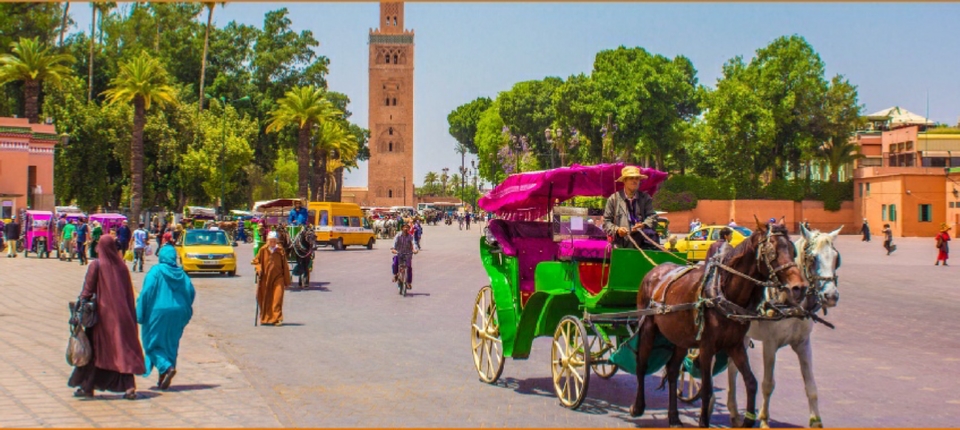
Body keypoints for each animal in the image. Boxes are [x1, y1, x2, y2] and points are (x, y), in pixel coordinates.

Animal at [632, 220, 808, 428]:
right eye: (771, 251)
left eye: (792, 249)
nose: (799, 287)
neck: (725, 292)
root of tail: (654, 270)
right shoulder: (707, 346)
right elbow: (707, 388)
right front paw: (703, 422)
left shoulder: (735, 345)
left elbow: (751, 382)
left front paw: (747, 420)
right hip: (647, 326)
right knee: (642, 364)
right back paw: (638, 406)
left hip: (681, 337)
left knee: (673, 370)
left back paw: (674, 417)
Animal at [728, 227, 840, 428]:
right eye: (813, 258)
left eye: (836, 258)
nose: (831, 296)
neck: (790, 305)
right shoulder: (770, 343)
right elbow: (768, 383)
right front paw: (764, 420)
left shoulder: (803, 343)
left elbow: (811, 385)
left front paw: (816, 421)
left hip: (741, 335)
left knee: (732, 368)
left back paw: (734, 413)